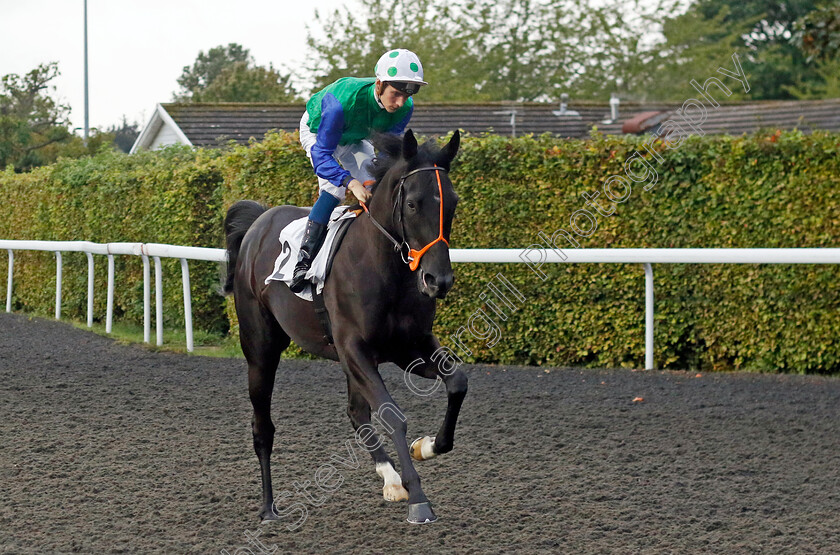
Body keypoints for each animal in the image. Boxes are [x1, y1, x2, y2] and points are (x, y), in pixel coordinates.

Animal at [223, 130, 470, 524]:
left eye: (454, 203)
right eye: (413, 204)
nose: (438, 280)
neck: (384, 268)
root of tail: (260, 221)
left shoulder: (408, 347)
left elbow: (457, 382)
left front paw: (426, 447)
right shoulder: (355, 348)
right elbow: (392, 413)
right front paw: (419, 499)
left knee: (357, 413)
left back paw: (391, 480)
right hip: (261, 349)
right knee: (262, 426)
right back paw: (269, 507)